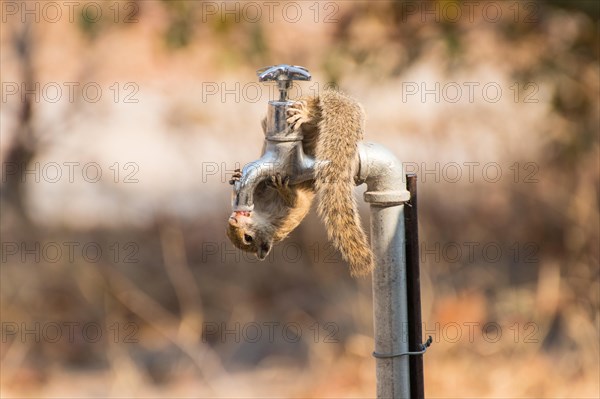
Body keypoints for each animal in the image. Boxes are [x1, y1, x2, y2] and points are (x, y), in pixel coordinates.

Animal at [227, 90, 372, 278]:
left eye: (248, 238)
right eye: (229, 231)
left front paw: (283, 189)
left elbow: (296, 200)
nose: (233, 219)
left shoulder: (289, 216)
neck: (262, 213)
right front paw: (236, 175)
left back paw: (305, 114)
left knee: (314, 117)